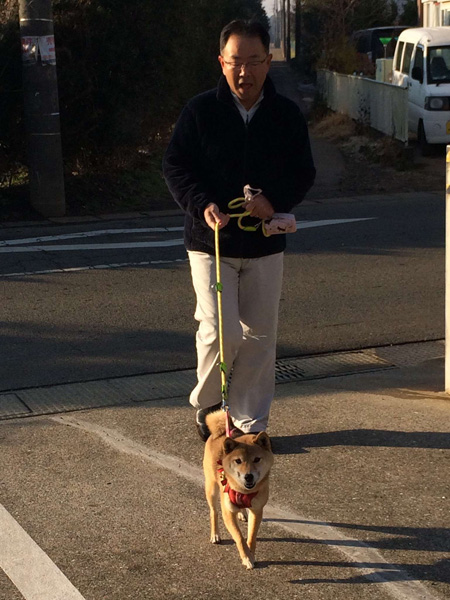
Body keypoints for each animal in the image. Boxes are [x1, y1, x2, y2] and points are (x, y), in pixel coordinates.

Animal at [204, 410, 274, 568]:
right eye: (238, 461)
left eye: (257, 459)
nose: (248, 476)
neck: (244, 492)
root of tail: (224, 430)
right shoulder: (228, 513)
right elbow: (239, 538)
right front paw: (246, 557)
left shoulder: (257, 510)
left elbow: (251, 536)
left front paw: (251, 553)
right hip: (211, 488)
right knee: (213, 512)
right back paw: (215, 534)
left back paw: (242, 513)